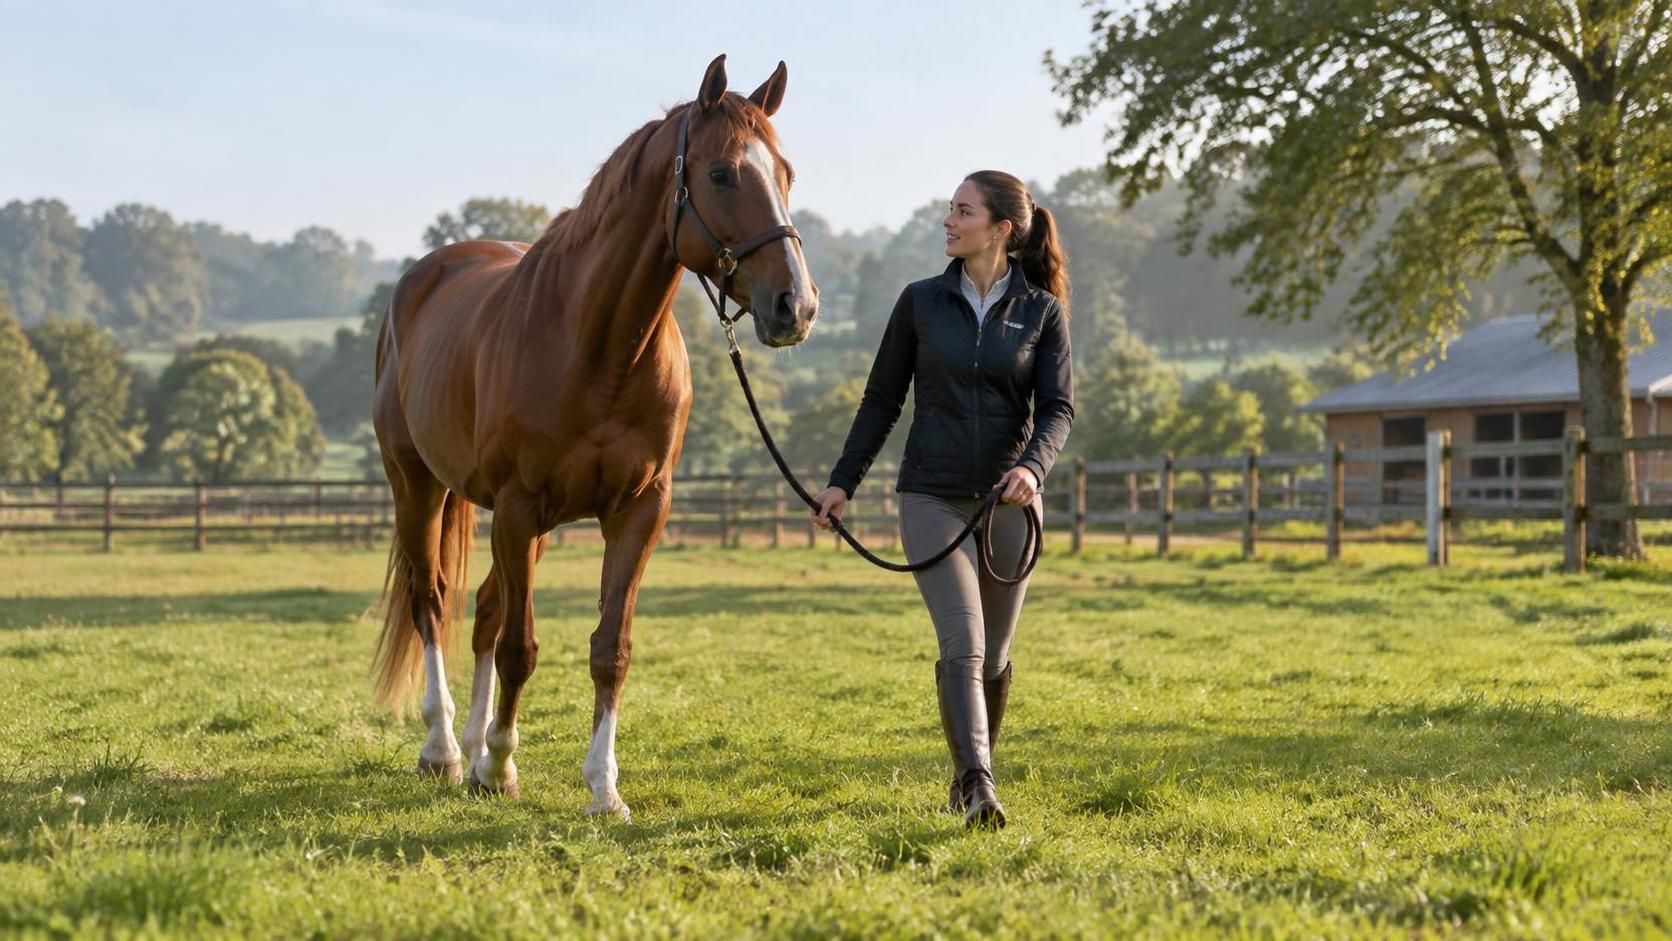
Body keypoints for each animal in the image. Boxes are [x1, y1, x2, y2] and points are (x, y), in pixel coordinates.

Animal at [369, 54, 818, 820]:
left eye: (786, 173)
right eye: (722, 173)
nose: (797, 304)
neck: (601, 348)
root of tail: (422, 280)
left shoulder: (638, 511)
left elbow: (610, 648)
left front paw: (602, 788)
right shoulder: (518, 506)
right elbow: (520, 647)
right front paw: (499, 765)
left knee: (483, 608)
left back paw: (476, 745)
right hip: (419, 486)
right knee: (431, 601)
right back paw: (447, 750)